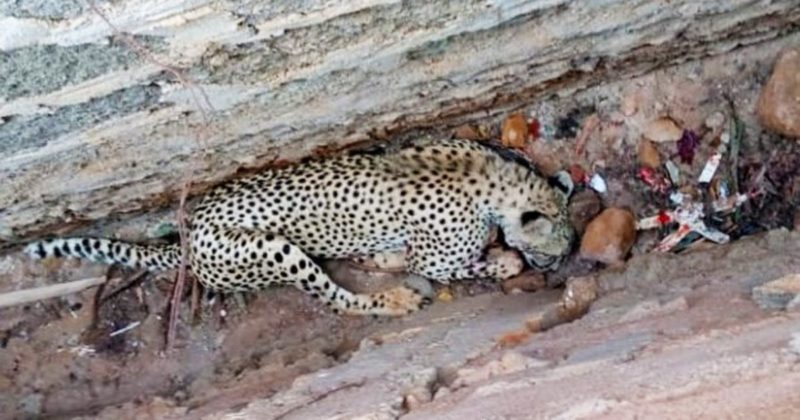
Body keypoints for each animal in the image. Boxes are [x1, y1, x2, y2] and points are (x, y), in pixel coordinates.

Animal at [25, 138, 575, 316]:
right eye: (554, 252)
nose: (566, 261)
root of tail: (189, 233)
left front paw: (382, 255)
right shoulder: (437, 258)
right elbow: (472, 264)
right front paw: (506, 261)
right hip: (273, 251)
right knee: (337, 299)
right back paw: (390, 299)